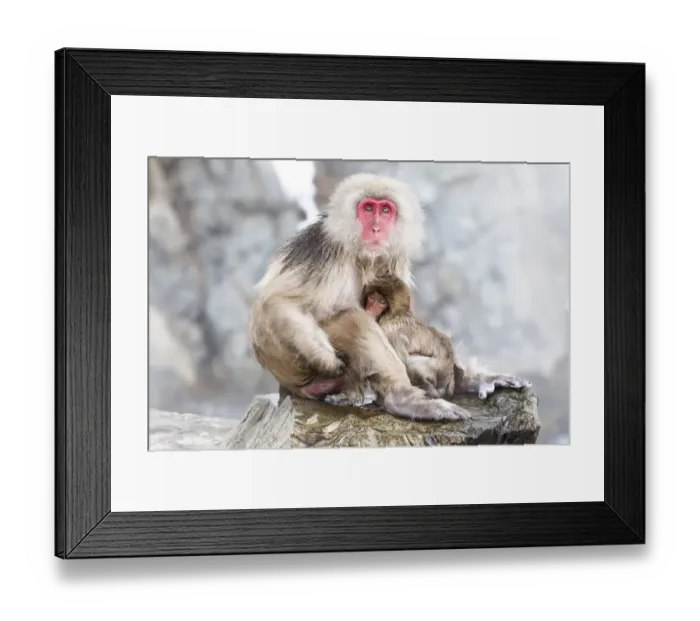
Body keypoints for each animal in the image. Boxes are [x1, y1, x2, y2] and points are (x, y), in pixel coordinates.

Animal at [248, 172, 531, 422]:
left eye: (385, 210)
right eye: (368, 208)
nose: (375, 228)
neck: (361, 253)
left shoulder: (392, 259)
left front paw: (470, 378)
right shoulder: (324, 251)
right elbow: (277, 302)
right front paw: (325, 357)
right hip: (290, 365)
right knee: (349, 319)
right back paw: (402, 398)